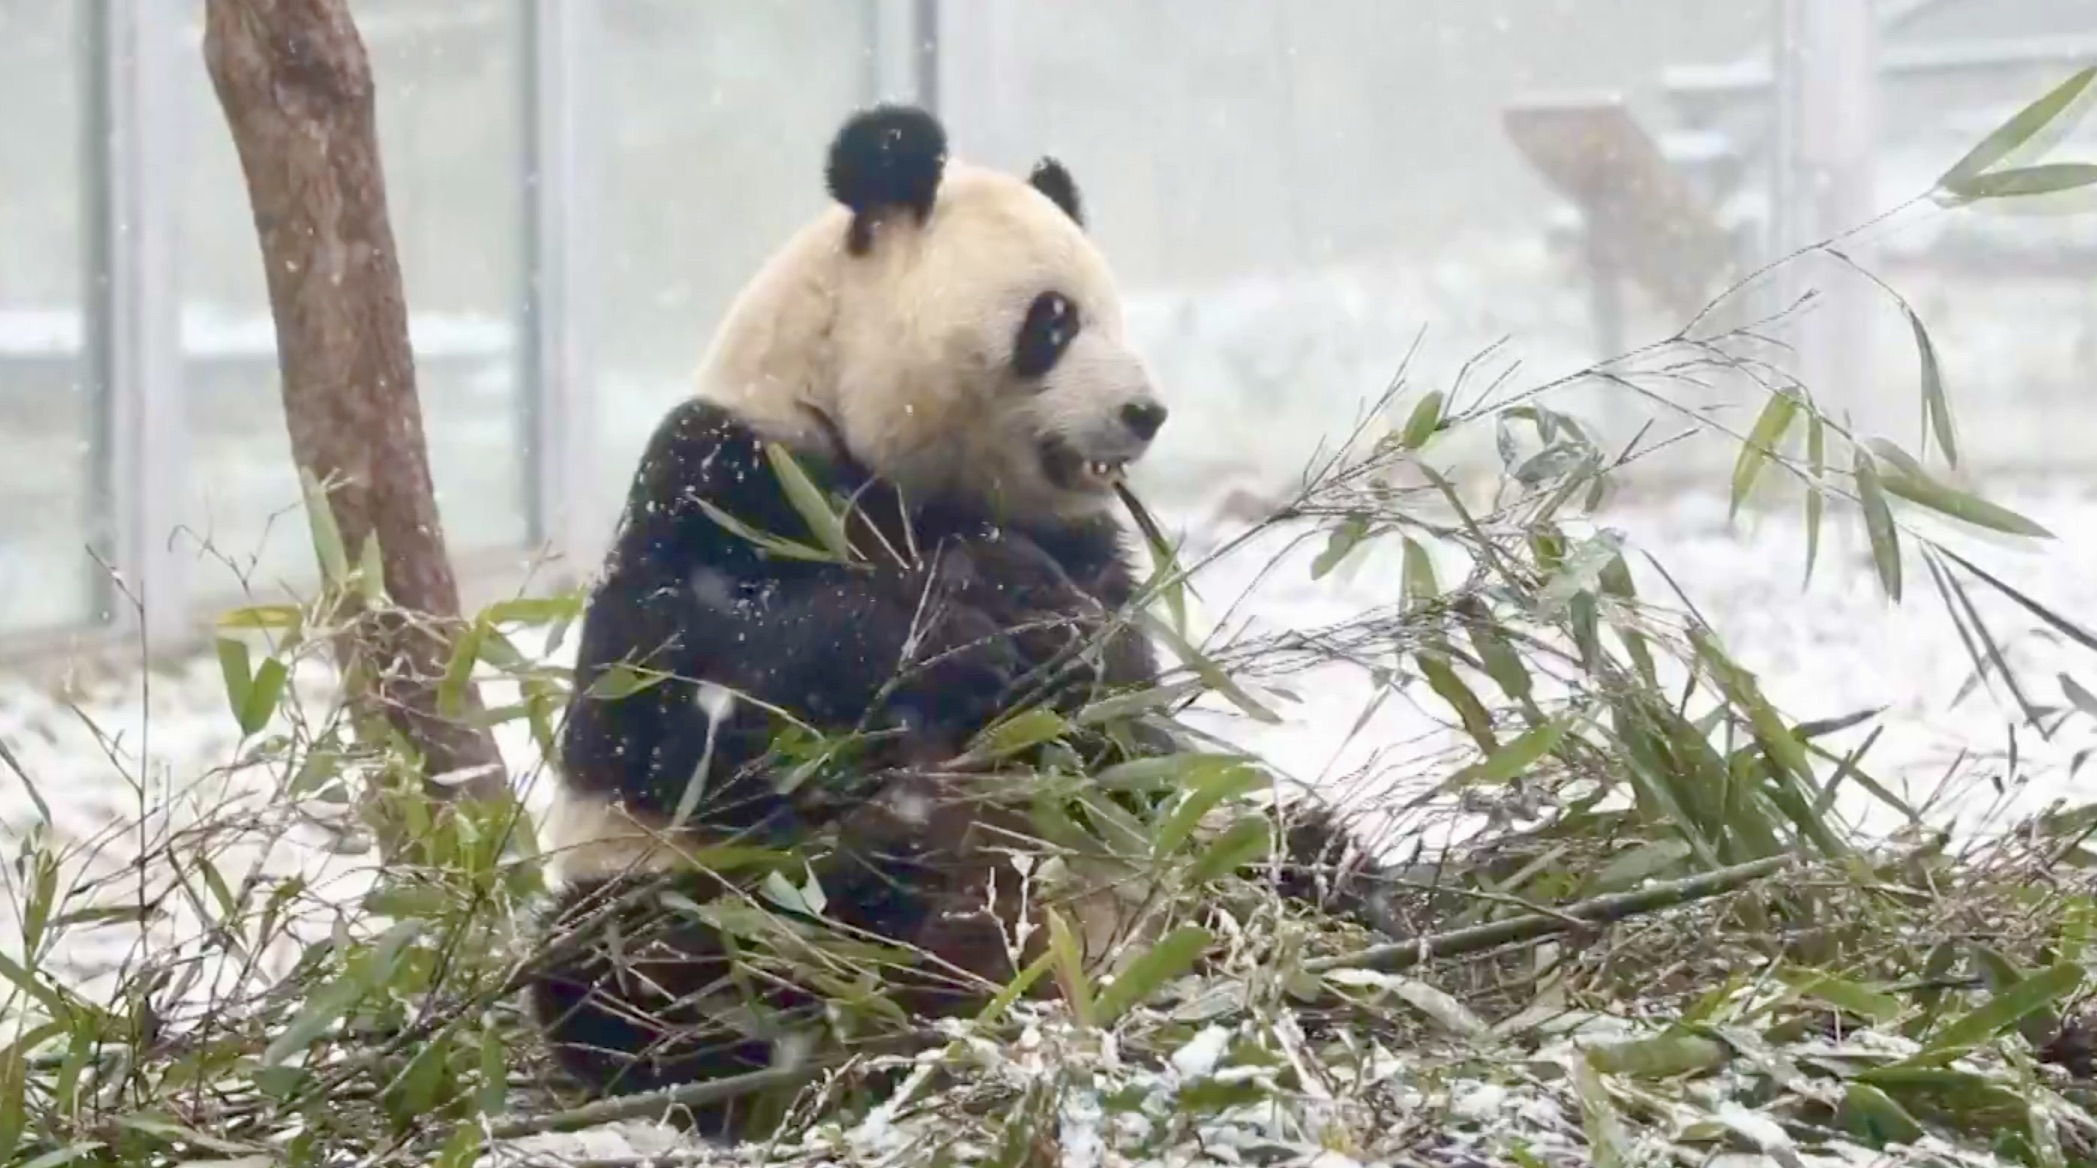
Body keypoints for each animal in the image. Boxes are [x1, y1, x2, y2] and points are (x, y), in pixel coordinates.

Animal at [525, 103, 1395, 1140]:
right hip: (693, 895)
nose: (1144, 412)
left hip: (1180, 864)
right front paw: (959, 637)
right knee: (635, 971)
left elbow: (1129, 718)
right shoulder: (718, 476)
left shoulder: (1083, 546)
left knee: (1289, 850)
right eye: (1053, 320)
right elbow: (667, 698)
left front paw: (1051, 640)